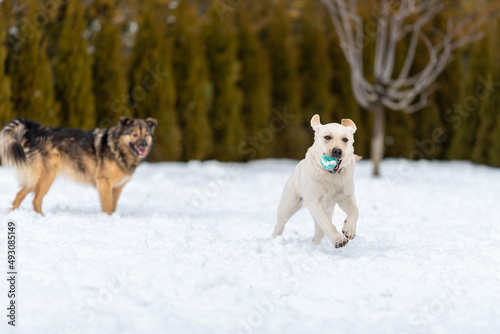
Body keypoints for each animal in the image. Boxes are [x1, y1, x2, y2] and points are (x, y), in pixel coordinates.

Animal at [0, 116, 156, 215]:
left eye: (146, 135)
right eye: (134, 135)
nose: (144, 144)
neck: (117, 148)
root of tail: (37, 129)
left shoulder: (117, 187)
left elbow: (113, 206)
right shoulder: (104, 183)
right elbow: (108, 207)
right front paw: (108, 219)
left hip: (35, 179)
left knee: (19, 196)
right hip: (46, 177)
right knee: (36, 200)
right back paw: (42, 217)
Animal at [274, 115, 360, 248]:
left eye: (345, 139)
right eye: (327, 137)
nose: (337, 151)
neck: (331, 176)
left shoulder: (346, 197)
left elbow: (355, 211)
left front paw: (349, 229)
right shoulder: (315, 204)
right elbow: (327, 224)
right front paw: (338, 239)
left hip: (327, 210)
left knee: (319, 233)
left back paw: (315, 244)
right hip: (287, 207)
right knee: (279, 225)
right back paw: (274, 240)